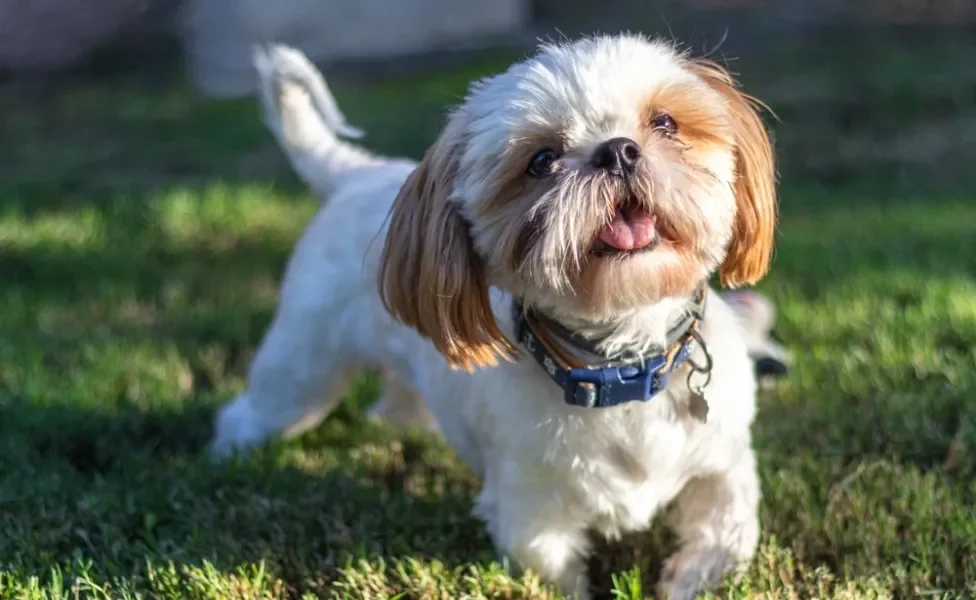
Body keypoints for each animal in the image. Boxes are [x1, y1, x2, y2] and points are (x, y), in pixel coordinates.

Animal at [212, 37, 776, 600]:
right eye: (541, 160)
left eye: (664, 122)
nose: (617, 150)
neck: (620, 370)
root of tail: (356, 172)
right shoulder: (532, 511)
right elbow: (553, 569)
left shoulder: (726, 464)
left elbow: (723, 536)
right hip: (300, 372)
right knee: (255, 411)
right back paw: (228, 455)